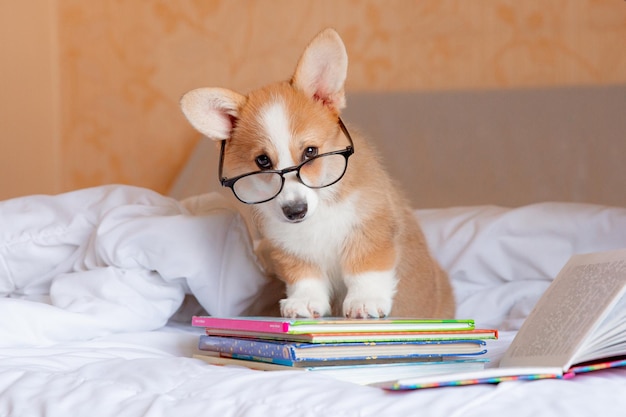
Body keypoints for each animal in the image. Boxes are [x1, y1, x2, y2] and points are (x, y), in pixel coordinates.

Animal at [180, 27, 454, 316]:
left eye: (310, 152)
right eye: (263, 161)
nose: (295, 211)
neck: (320, 211)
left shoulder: (370, 229)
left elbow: (364, 269)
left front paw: (365, 300)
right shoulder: (291, 250)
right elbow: (305, 278)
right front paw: (304, 301)